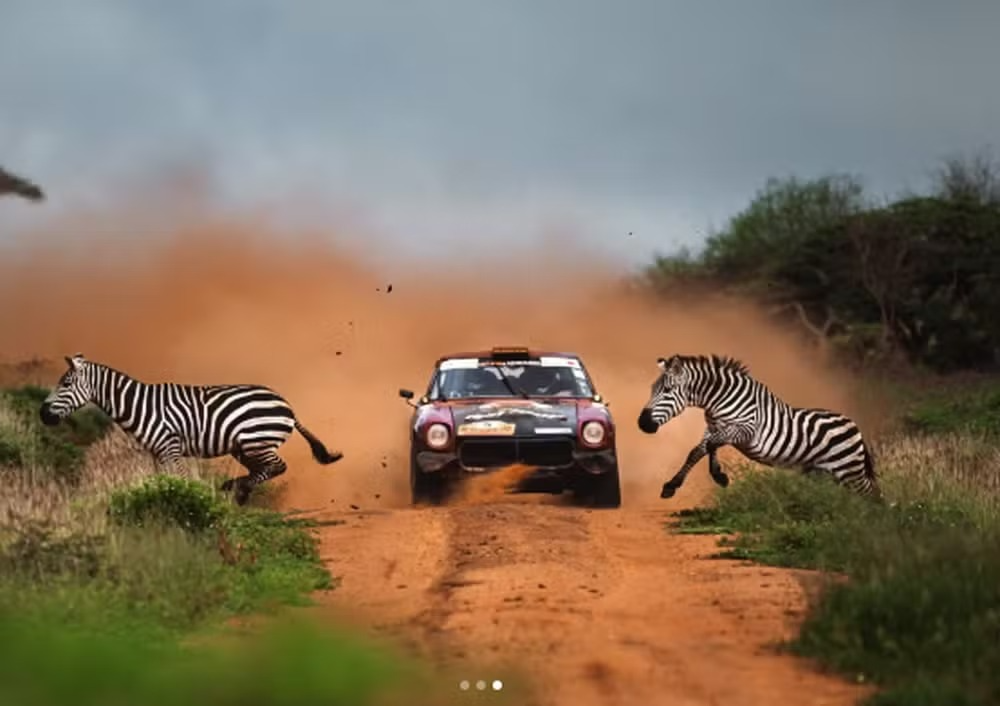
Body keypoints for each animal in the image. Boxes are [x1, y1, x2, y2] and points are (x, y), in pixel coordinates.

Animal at [39, 354, 343, 505]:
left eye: (66, 384)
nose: (42, 414)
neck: (139, 406)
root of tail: (287, 405)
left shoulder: (171, 447)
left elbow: (183, 482)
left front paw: (192, 503)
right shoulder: (157, 453)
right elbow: (163, 483)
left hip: (257, 440)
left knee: (277, 467)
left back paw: (238, 489)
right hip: (244, 448)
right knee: (263, 469)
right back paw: (237, 490)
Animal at [637, 354, 881, 501]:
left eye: (667, 390)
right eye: (652, 389)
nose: (642, 423)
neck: (718, 401)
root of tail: (855, 426)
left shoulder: (745, 430)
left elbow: (711, 446)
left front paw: (719, 476)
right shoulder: (713, 428)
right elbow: (698, 451)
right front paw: (672, 485)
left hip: (849, 469)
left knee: (871, 492)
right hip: (825, 472)